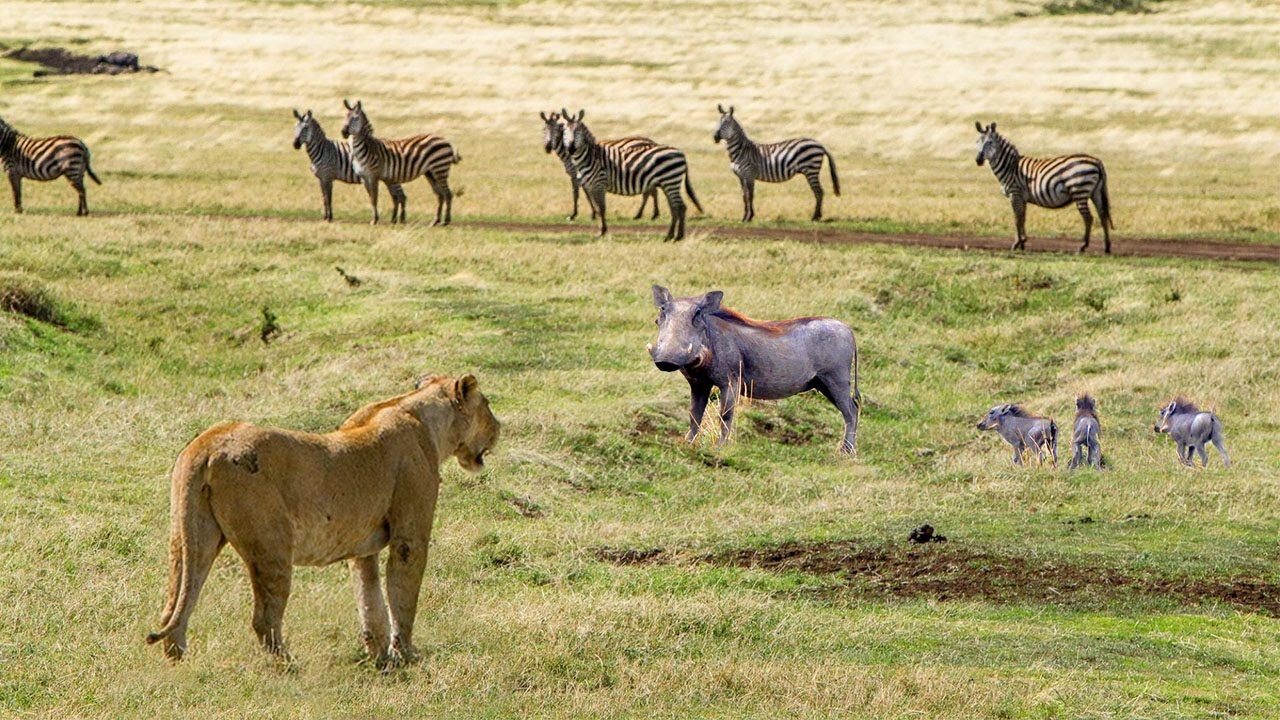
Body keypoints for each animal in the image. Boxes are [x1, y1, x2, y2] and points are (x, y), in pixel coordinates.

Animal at [560, 107, 706, 239]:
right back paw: (671, 236)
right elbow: (596, 208)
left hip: (671, 181)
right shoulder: (590, 186)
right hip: (668, 183)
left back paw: (677, 236)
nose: (571, 148)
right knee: (675, 207)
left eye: (578, 131)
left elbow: (601, 208)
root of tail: (681, 153)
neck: (590, 157)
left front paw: (602, 232)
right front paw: (601, 229)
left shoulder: (599, 184)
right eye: (565, 131)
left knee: (680, 206)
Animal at [711, 103, 839, 220]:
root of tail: (819, 144)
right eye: (719, 122)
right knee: (819, 191)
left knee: (818, 192)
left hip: (811, 170)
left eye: (727, 123)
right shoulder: (741, 177)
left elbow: (750, 195)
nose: (715, 137)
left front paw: (749, 217)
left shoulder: (749, 174)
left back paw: (815, 217)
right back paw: (817, 216)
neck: (741, 151)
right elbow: (744, 196)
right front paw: (744, 217)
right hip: (811, 170)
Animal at [972, 122, 1116, 254]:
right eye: (977, 142)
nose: (978, 160)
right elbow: (1022, 218)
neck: (1010, 167)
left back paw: (1082, 246)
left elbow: (1017, 219)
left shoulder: (1015, 193)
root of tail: (1096, 161)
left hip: (1080, 191)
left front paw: (1016, 244)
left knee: (1088, 218)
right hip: (1095, 192)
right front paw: (1023, 243)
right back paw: (1107, 247)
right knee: (1102, 215)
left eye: (990, 142)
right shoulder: (1022, 198)